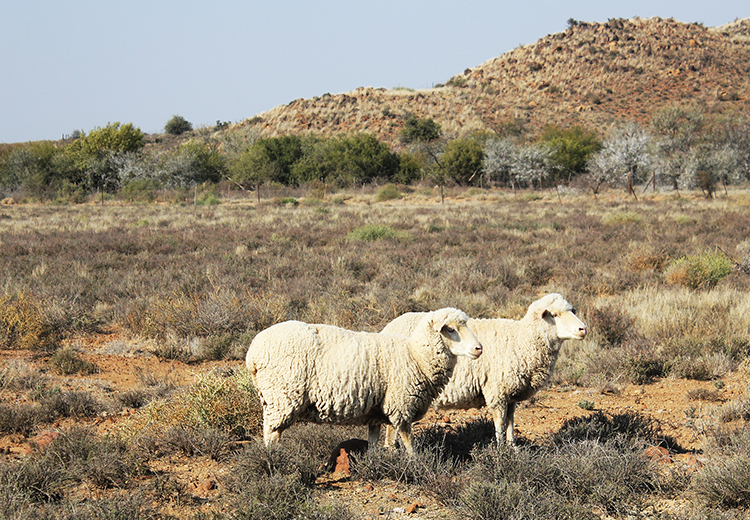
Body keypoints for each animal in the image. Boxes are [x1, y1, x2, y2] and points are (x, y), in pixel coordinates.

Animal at [245, 308, 482, 454]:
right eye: (450, 329)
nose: (479, 348)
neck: (416, 356)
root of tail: (252, 354)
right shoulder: (401, 405)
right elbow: (408, 442)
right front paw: (417, 463)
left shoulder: (375, 411)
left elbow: (374, 441)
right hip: (282, 397)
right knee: (271, 434)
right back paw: (274, 460)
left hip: (272, 397)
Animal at [380, 293, 587, 446]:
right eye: (555, 314)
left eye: (572, 310)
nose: (583, 329)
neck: (523, 339)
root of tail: (389, 326)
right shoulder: (498, 392)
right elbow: (500, 425)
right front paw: (500, 452)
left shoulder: (511, 395)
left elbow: (510, 425)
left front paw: (514, 449)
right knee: (392, 425)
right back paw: (392, 450)